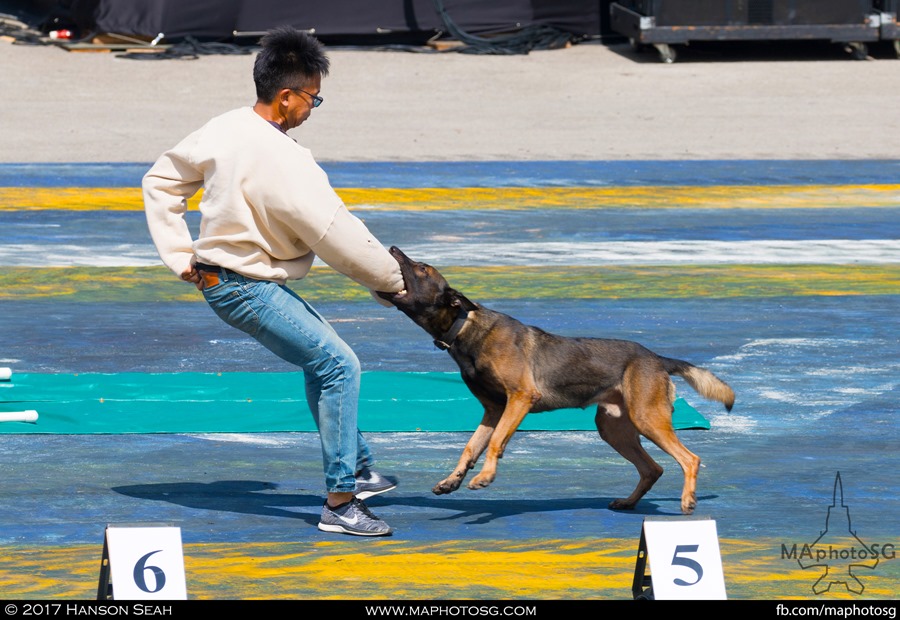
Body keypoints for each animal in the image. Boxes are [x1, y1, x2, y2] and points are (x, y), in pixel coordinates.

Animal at [376, 247, 736, 512]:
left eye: (423, 268)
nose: (392, 248)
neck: (464, 325)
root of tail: (657, 358)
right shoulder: (493, 410)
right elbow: (470, 447)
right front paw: (453, 480)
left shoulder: (520, 398)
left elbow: (495, 442)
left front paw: (485, 477)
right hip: (614, 429)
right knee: (653, 469)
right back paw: (628, 502)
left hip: (647, 418)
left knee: (690, 459)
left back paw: (687, 501)